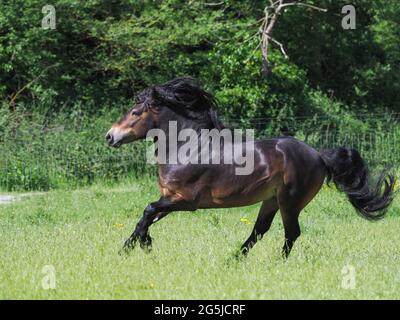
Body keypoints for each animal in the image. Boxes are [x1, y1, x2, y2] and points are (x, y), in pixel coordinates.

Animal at [104, 77, 396, 258]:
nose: (110, 136)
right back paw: (234, 259)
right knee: (259, 231)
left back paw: (276, 263)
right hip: (271, 201)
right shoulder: (169, 198)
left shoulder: (186, 201)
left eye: (135, 112)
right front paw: (128, 249)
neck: (187, 149)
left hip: (290, 202)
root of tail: (317, 155)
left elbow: (148, 210)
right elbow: (145, 218)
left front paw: (144, 246)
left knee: (291, 233)